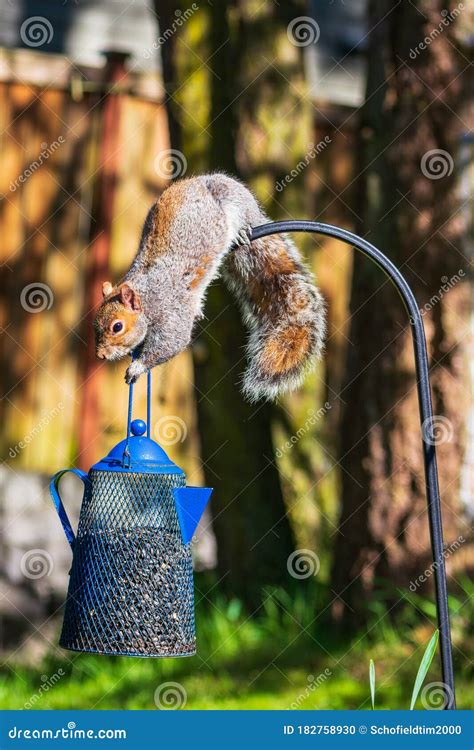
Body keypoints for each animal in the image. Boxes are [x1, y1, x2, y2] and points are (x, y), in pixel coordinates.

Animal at [93, 173, 326, 402]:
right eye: (95, 326)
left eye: (117, 327)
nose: (101, 355)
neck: (147, 296)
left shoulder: (171, 312)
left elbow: (172, 342)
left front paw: (137, 367)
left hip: (235, 201)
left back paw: (242, 231)